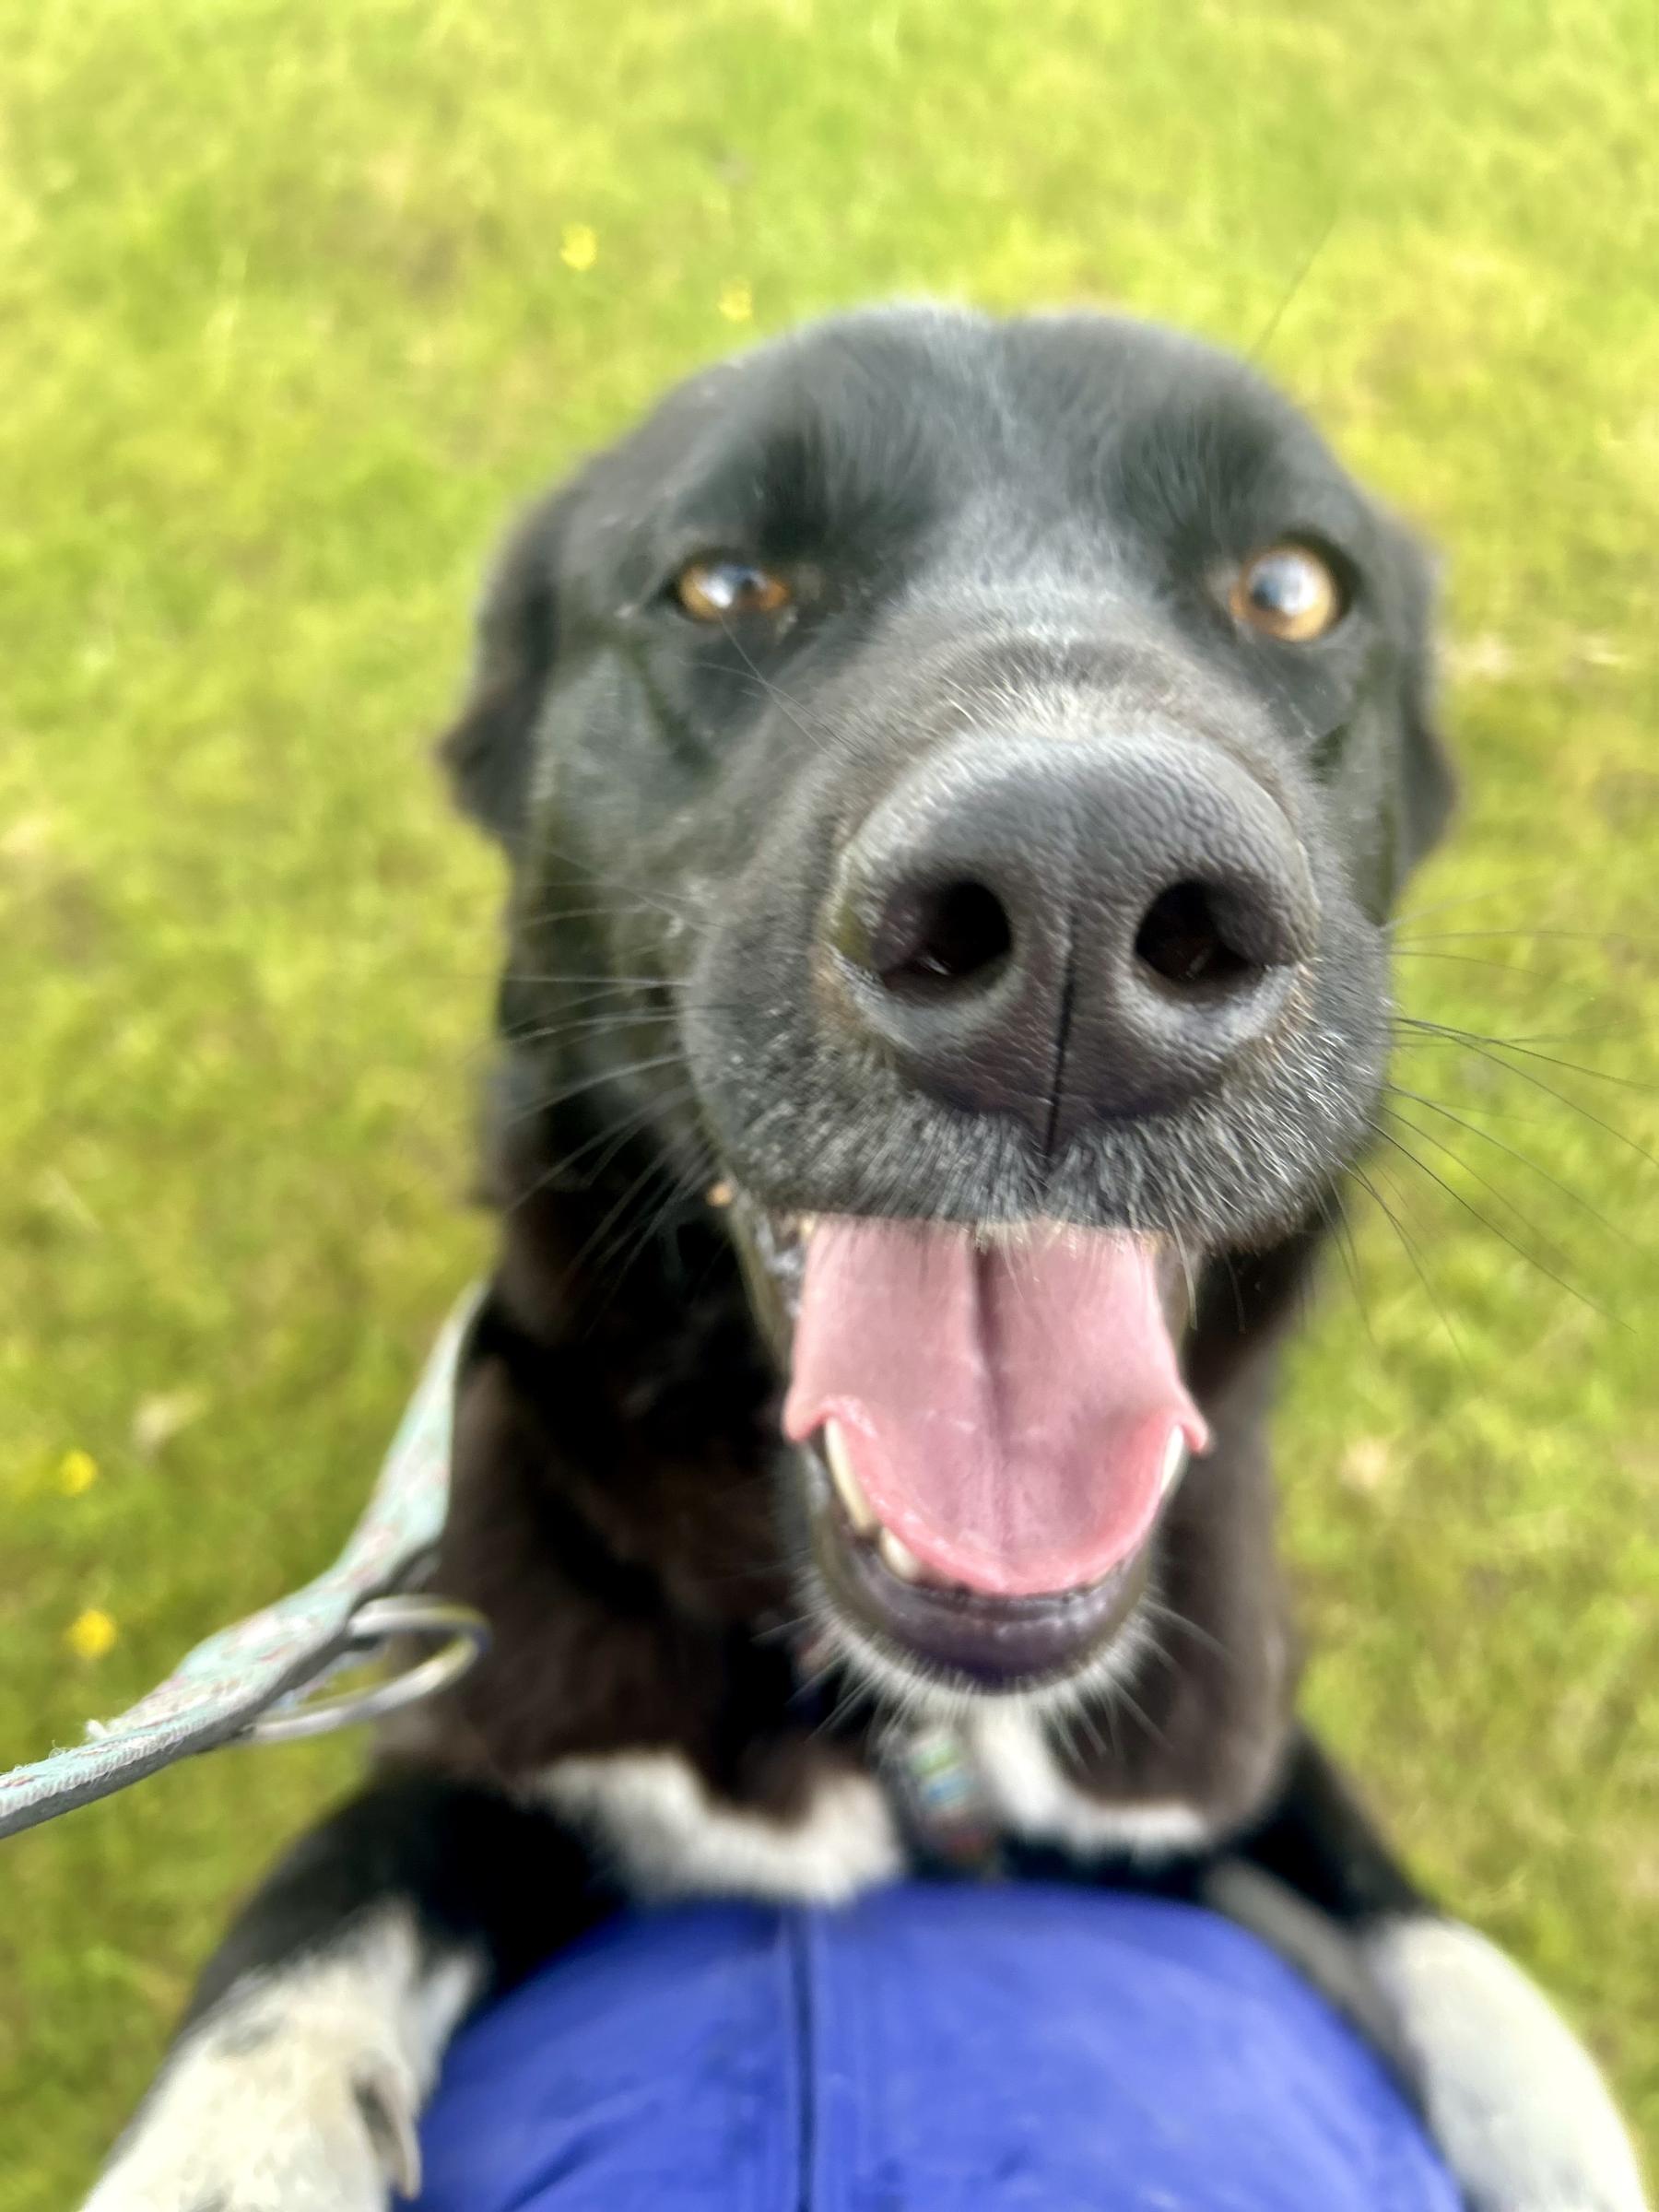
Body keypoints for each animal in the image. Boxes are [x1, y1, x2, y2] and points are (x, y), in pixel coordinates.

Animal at [86, 305, 1645, 2211]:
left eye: (1290, 588)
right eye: (725, 582)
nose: (1078, 907)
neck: (923, 1730)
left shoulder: (1225, 1772)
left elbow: (1469, 1973)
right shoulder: (497, 1747)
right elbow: (312, 1918)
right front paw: (232, 2148)